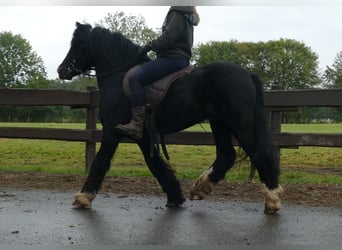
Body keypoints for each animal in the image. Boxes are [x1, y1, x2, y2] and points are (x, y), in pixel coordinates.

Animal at [58, 22, 284, 214]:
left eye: (78, 44)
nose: (62, 70)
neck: (119, 77)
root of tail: (248, 75)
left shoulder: (112, 130)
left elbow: (101, 160)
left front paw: (83, 197)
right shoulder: (143, 136)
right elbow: (155, 163)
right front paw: (175, 197)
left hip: (240, 125)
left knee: (260, 154)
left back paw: (272, 200)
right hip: (219, 123)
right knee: (226, 155)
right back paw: (200, 189)